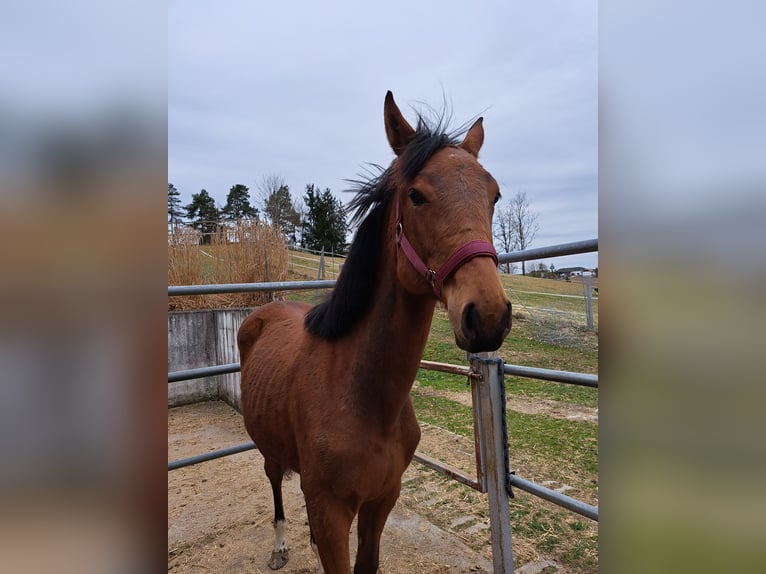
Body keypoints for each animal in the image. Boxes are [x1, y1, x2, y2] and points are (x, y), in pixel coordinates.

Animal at [238, 91, 512, 573]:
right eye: (416, 196)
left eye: (494, 195)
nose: (489, 315)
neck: (360, 394)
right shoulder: (332, 513)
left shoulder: (382, 501)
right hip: (268, 449)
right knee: (274, 482)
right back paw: (281, 544)